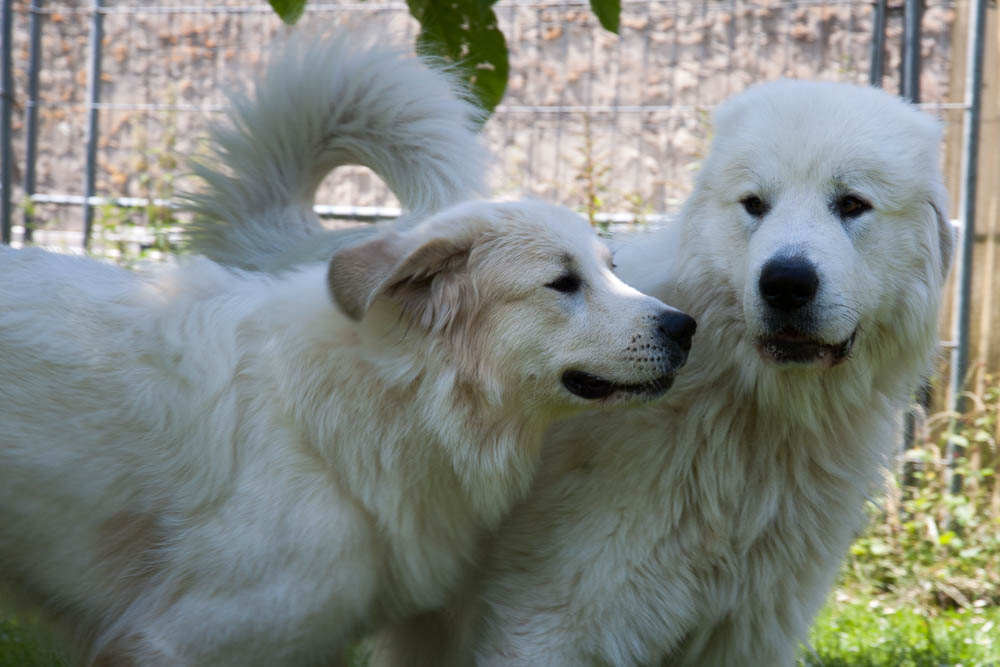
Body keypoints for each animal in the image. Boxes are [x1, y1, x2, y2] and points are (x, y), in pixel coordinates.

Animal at [370, 78, 952, 664]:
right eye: (754, 205)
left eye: (852, 204)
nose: (785, 283)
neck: (746, 415)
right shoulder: (548, 627)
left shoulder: (742, 637)